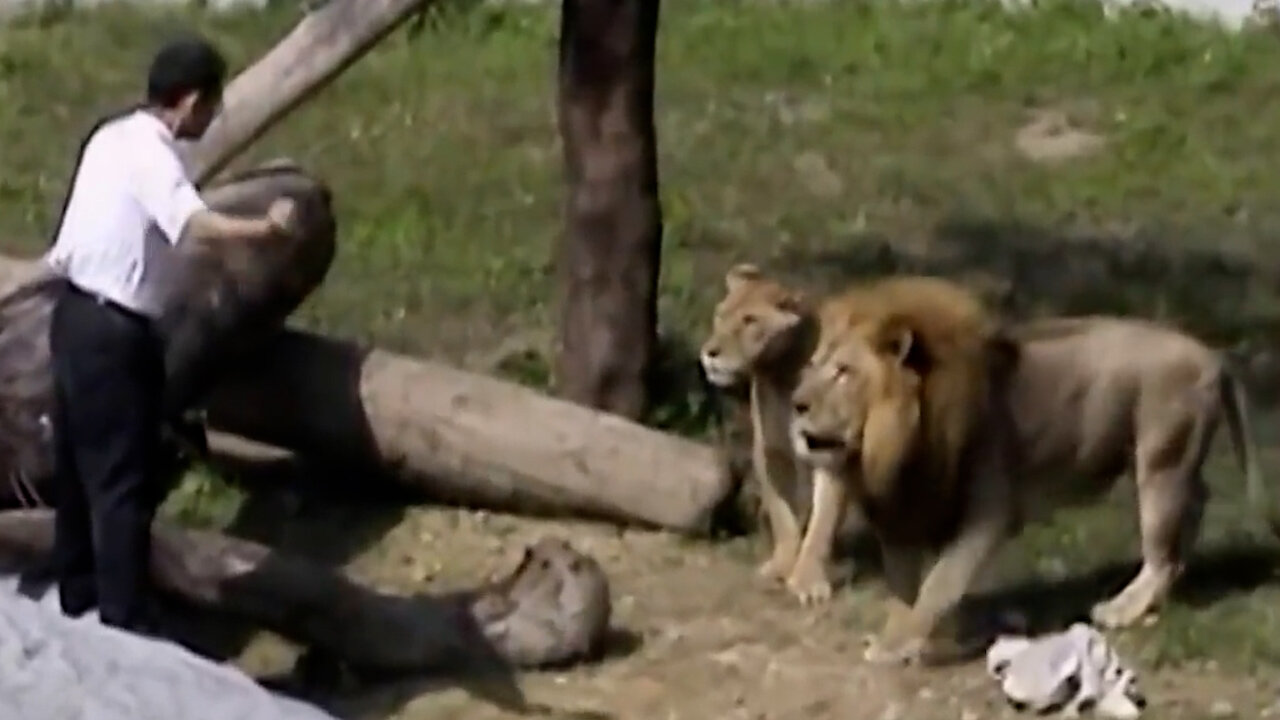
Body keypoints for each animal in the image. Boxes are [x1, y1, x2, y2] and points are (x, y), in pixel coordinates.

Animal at [788, 308, 1269, 661]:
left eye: (844, 372)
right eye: (812, 367)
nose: (797, 403)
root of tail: (1212, 352)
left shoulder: (988, 514)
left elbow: (938, 584)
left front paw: (897, 644)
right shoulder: (900, 511)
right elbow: (904, 585)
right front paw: (897, 632)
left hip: (1159, 462)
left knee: (1163, 550)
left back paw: (1122, 609)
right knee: (1196, 507)